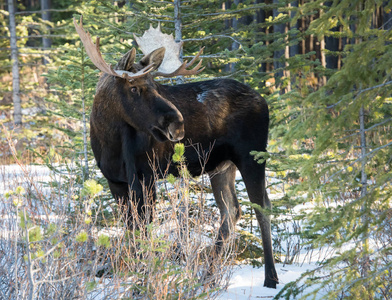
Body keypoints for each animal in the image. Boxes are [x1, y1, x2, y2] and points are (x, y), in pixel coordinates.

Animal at [74, 16, 278, 288]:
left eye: (156, 85)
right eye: (134, 88)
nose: (177, 123)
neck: (109, 141)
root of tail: (263, 100)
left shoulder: (146, 176)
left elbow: (145, 227)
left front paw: (144, 277)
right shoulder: (115, 181)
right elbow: (131, 227)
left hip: (252, 156)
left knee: (262, 206)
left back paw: (270, 278)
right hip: (221, 165)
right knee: (231, 210)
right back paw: (209, 276)